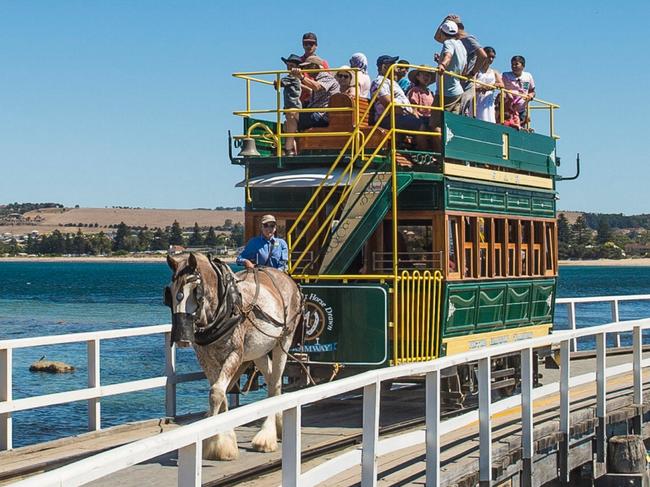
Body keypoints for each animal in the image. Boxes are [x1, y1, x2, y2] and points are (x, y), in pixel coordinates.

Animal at [163, 255, 302, 462]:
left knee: (276, 381)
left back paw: (266, 437)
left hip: (284, 340)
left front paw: (214, 443)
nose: (181, 337)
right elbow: (221, 393)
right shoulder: (206, 359)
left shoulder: (235, 354)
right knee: (271, 381)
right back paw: (277, 426)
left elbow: (216, 393)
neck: (224, 308)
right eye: (170, 293)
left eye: (195, 290)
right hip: (259, 351)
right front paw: (223, 441)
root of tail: (287, 279)